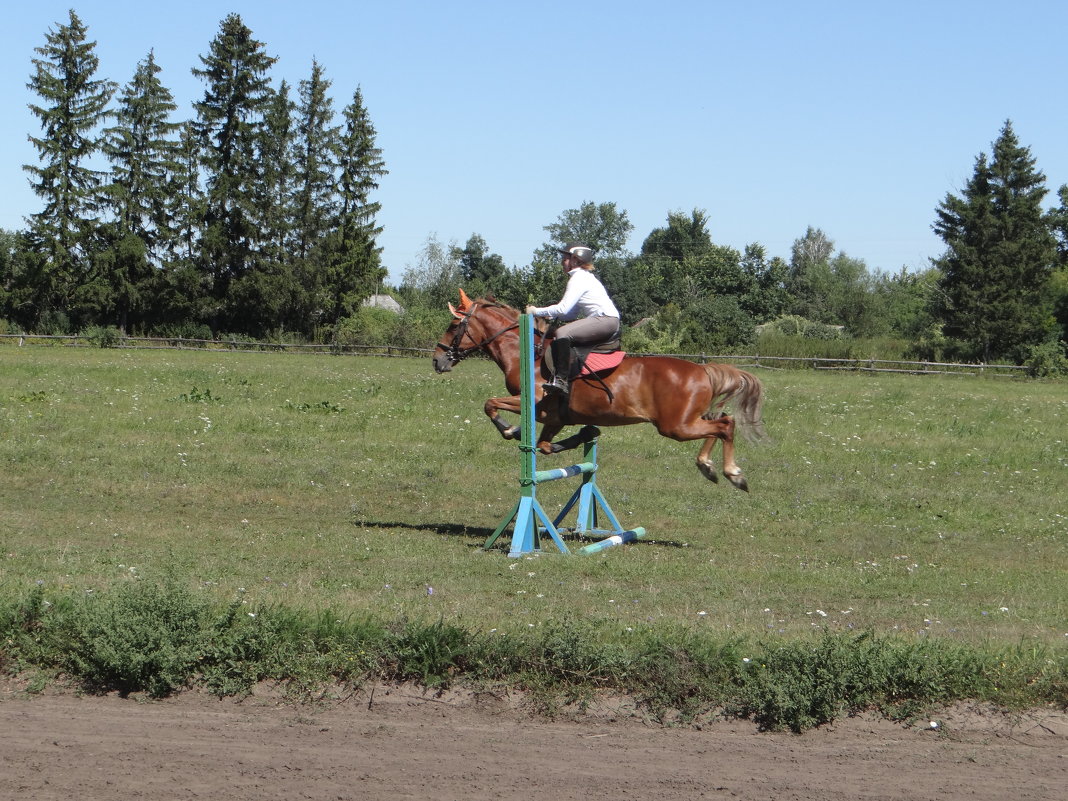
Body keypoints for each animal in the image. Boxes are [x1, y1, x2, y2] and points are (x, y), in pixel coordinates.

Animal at [429, 288, 764, 489]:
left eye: (453, 325)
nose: (437, 360)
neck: (525, 353)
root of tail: (702, 369)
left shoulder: (531, 399)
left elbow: (490, 404)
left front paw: (510, 429)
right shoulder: (554, 417)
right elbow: (545, 445)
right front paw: (581, 435)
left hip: (675, 426)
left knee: (725, 425)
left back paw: (731, 473)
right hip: (687, 420)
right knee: (719, 422)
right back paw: (709, 466)